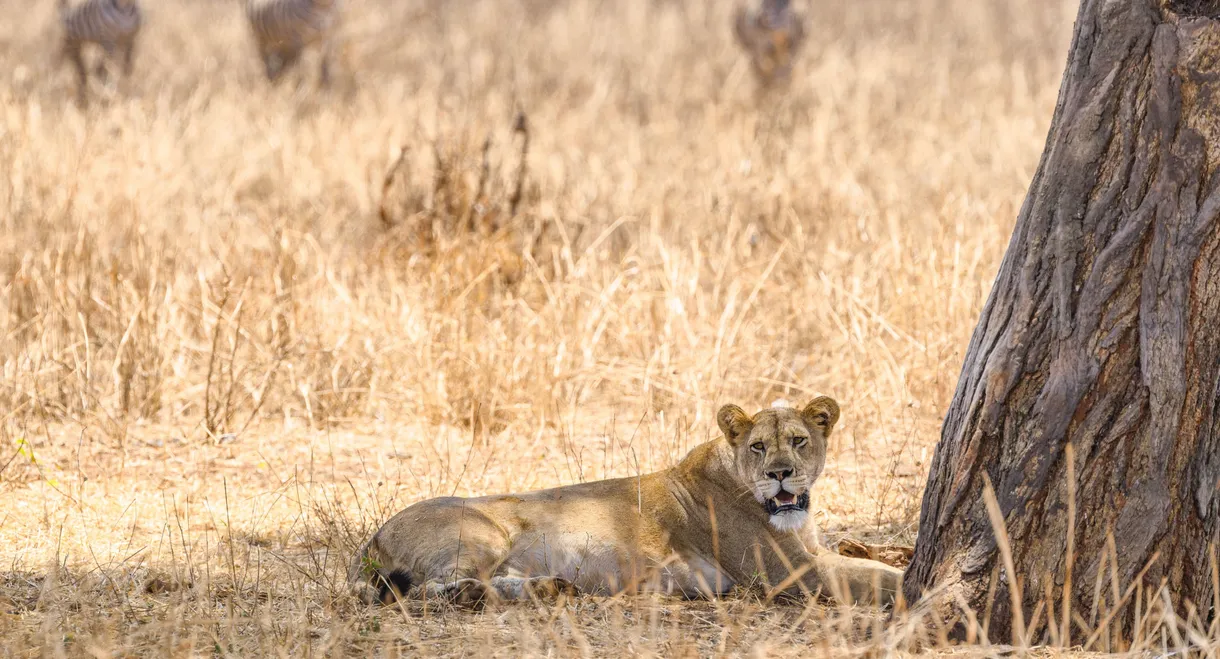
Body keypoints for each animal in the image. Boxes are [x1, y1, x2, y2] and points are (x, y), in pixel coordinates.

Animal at [348, 396, 903, 608]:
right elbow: (876, 579)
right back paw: (474, 595)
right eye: (758, 447)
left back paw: (549, 588)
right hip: (481, 534)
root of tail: (371, 538)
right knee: (424, 591)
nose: (780, 475)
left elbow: (869, 557)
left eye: (799, 441)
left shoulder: (811, 552)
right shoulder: (792, 574)